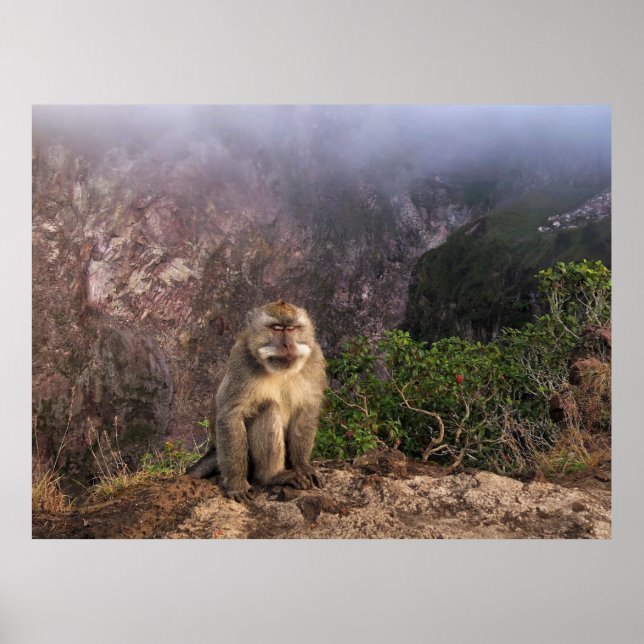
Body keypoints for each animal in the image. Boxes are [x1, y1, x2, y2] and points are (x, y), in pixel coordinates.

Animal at [186, 300, 327, 502]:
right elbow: (231, 416)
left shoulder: (314, 359)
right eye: (276, 328)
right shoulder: (241, 362)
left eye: (292, 328)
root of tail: (214, 448)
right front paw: (237, 483)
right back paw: (274, 475)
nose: (288, 345)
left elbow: (307, 411)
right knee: (269, 408)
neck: (279, 369)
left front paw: (302, 466)